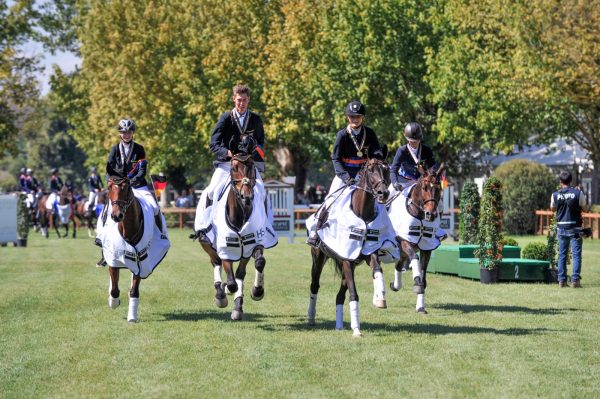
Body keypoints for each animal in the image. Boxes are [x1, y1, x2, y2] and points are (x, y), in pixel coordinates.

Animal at [195, 153, 270, 322]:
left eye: (252, 166)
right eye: (234, 167)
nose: (246, 196)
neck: (239, 214)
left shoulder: (251, 245)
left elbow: (257, 264)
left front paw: (256, 291)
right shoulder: (226, 251)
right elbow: (231, 281)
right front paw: (225, 293)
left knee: (239, 274)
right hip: (207, 244)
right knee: (216, 263)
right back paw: (221, 294)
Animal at [308, 156, 392, 338]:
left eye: (386, 169)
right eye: (370, 170)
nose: (383, 193)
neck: (362, 213)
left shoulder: (367, 254)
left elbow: (377, 270)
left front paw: (380, 298)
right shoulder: (347, 259)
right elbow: (354, 294)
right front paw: (357, 330)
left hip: (349, 266)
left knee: (339, 296)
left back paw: (339, 325)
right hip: (319, 258)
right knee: (315, 285)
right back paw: (311, 317)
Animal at [390, 162, 446, 316]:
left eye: (438, 189)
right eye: (424, 188)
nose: (431, 214)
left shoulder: (427, 247)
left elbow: (423, 275)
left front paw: (420, 306)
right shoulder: (404, 240)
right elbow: (415, 259)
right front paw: (416, 283)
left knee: (398, 265)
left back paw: (395, 285)